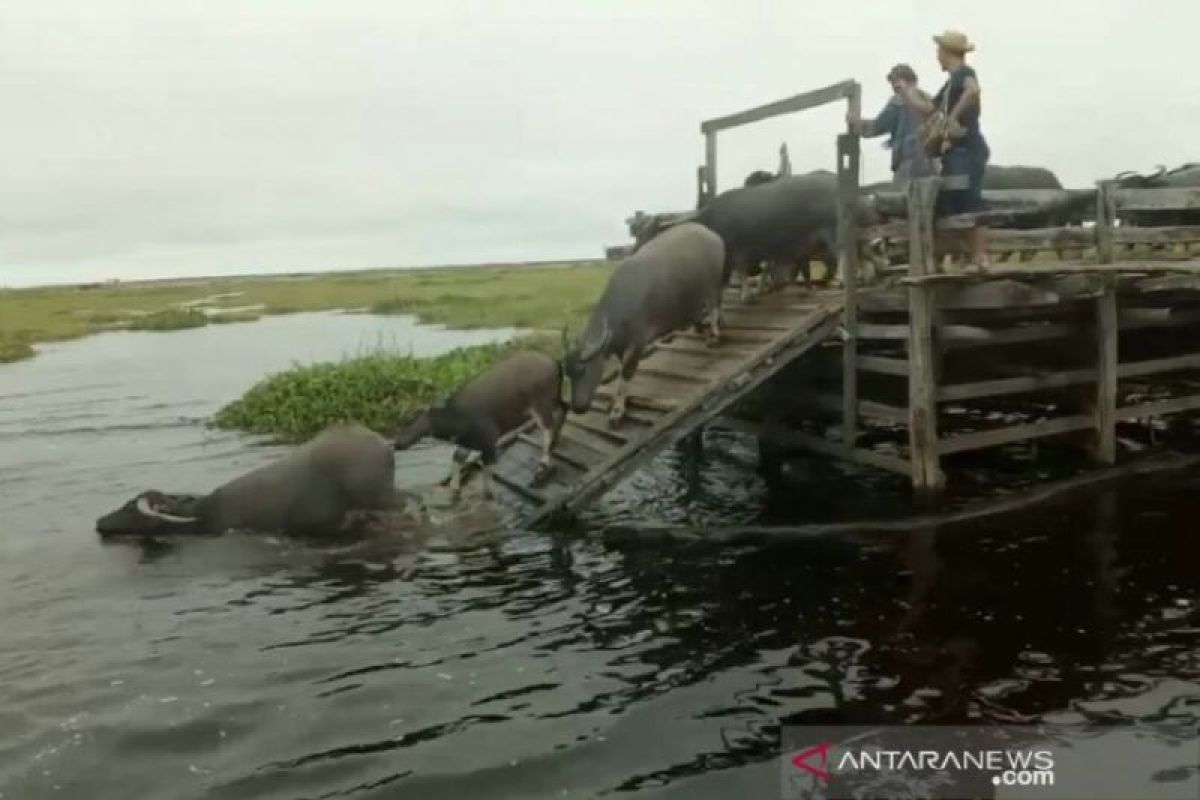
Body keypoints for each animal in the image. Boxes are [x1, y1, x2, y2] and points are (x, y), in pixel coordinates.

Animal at [393, 347, 561, 494]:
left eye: (410, 419)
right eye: (400, 422)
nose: (397, 443)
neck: (456, 419)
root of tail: (552, 360)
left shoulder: (489, 445)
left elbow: (487, 475)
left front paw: (487, 493)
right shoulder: (466, 443)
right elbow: (457, 458)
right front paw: (454, 487)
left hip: (542, 406)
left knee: (548, 429)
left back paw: (543, 463)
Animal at [566, 220, 724, 424]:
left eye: (583, 370)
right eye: (567, 373)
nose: (577, 408)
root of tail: (710, 233)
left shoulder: (637, 343)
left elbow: (626, 373)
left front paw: (618, 410)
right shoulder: (619, 347)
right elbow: (620, 371)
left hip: (713, 283)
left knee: (714, 305)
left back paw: (714, 336)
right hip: (694, 292)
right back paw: (700, 329)